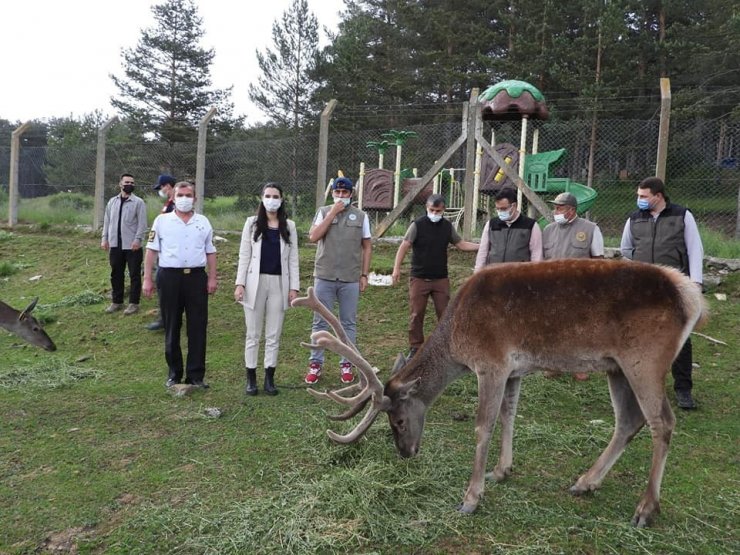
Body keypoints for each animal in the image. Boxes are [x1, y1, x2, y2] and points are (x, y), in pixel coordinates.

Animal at [292, 258, 708, 528]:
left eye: (396, 420)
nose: (406, 453)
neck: (457, 338)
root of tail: (690, 297)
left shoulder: (490, 363)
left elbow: (482, 426)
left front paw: (470, 498)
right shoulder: (514, 370)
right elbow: (509, 414)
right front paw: (502, 471)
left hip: (645, 359)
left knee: (662, 422)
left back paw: (645, 509)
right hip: (616, 366)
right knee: (628, 421)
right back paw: (585, 482)